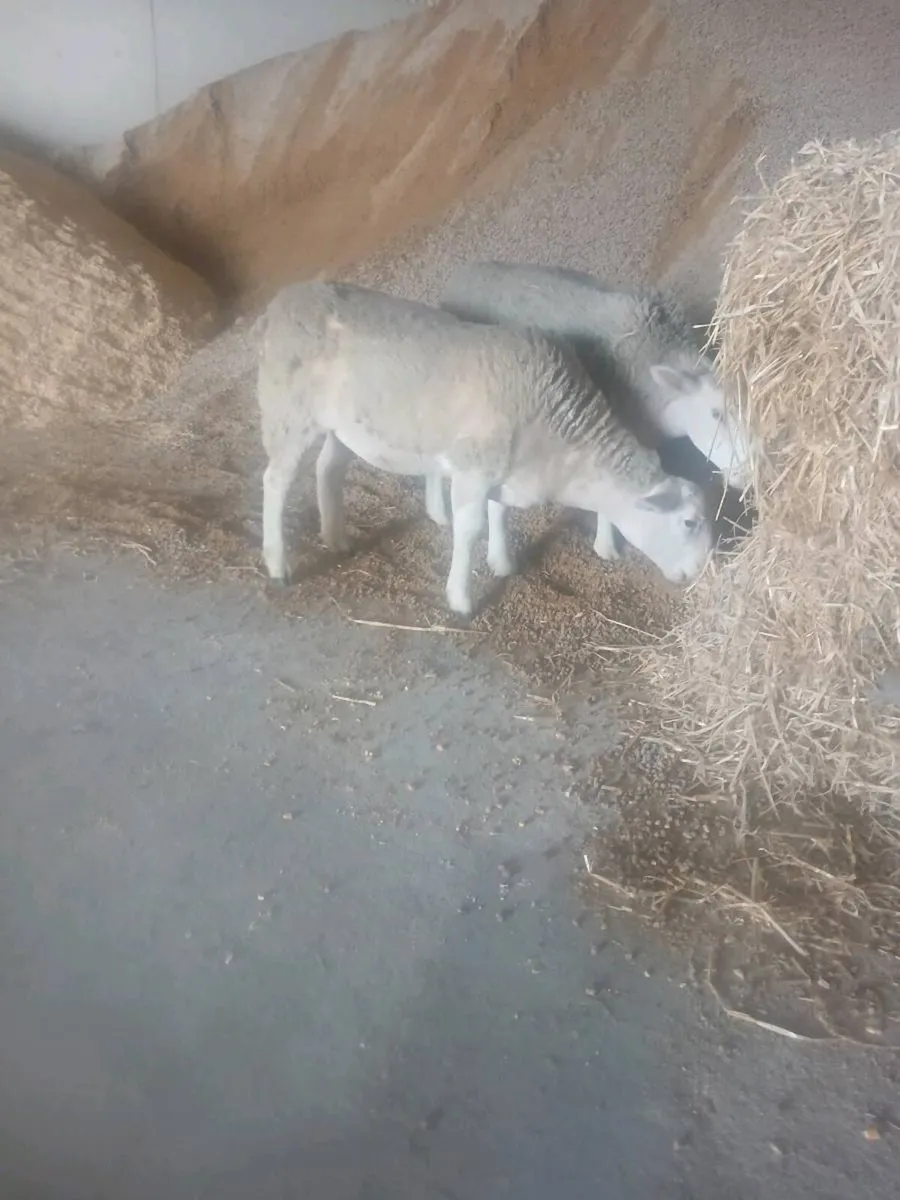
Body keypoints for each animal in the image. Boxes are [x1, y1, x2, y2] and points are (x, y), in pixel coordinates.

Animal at [256, 280, 713, 616]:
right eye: (689, 522)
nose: (698, 572)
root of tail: (282, 301)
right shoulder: (473, 468)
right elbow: (469, 529)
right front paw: (461, 600)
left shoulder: (504, 469)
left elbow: (500, 512)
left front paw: (502, 562)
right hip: (289, 412)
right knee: (276, 480)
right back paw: (278, 564)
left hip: (342, 425)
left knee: (329, 467)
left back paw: (335, 538)